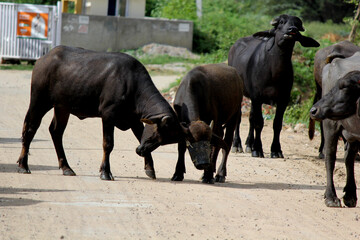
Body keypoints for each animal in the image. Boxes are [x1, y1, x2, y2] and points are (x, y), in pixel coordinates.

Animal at [17, 45, 181, 180]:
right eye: (165, 132)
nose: (139, 151)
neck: (131, 85)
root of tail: (42, 59)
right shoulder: (108, 116)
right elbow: (108, 144)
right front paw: (105, 172)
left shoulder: (135, 120)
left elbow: (141, 138)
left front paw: (150, 168)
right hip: (39, 101)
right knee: (30, 128)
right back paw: (23, 165)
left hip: (62, 107)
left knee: (56, 132)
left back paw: (66, 168)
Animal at [229, 14, 320, 158]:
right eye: (281, 23)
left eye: (296, 24)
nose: (292, 30)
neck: (274, 72)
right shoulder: (257, 97)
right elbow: (259, 123)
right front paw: (257, 149)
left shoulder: (283, 100)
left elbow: (277, 124)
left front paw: (276, 150)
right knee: (238, 116)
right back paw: (237, 145)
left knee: (250, 117)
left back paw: (249, 144)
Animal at [308, 53, 360, 207]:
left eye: (345, 87)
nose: (314, 110)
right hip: (330, 124)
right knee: (330, 157)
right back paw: (331, 197)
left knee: (349, 158)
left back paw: (350, 195)